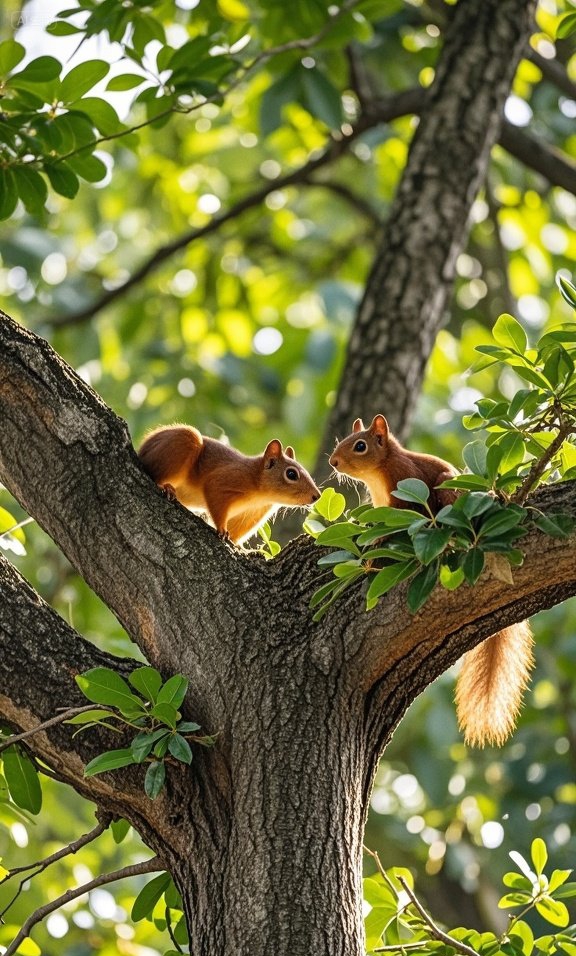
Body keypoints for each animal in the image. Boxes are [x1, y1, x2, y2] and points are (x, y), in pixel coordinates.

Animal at [138, 424, 320, 545]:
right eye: (291, 474)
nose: (317, 496)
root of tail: (143, 449)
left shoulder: (253, 513)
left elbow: (238, 530)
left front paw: (241, 548)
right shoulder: (225, 479)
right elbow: (214, 493)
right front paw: (222, 530)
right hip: (182, 442)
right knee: (155, 472)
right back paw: (165, 486)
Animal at [329, 413, 534, 748]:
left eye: (360, 445)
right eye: (341, 441)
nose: (333, 462)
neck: (379, 472)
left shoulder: (407, 485)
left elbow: (406, 515)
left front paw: (380, 540)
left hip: (448, 493)